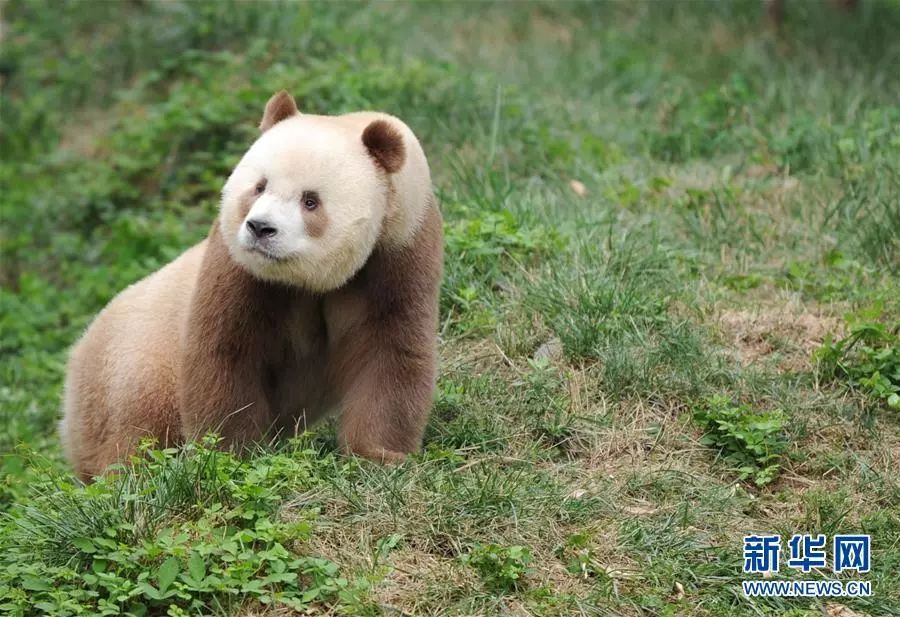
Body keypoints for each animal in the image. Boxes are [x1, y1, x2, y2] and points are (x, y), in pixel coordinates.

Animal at [58, 91, 444, 478]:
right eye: (259, 187)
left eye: (310, 200)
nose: (260, 227)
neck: (307, 280)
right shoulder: (237, 267)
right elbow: (227, 352)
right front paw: (231, 456)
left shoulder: (398, 252)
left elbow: (390, 350)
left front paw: (379, 455)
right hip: (135, 366)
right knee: (137, 430)